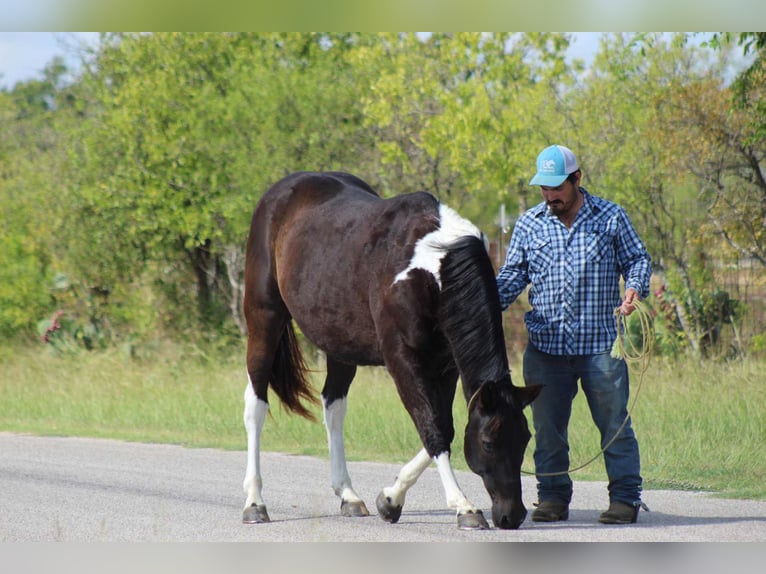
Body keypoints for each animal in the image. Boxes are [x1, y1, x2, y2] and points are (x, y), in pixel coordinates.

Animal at [241, 171, 541, 530]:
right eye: (488, 442)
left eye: (525, 438)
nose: (512, 515)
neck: (430, 270)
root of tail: (283, 189)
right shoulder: (402, 360)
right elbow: (433, 428)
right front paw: (463, 506)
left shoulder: (445, 365)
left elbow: (444, 427)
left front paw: (389, 499)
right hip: (264, 320)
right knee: (255, 405)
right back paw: (254, 502)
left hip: (340, 343)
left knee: (334, 407)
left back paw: (349, 495)